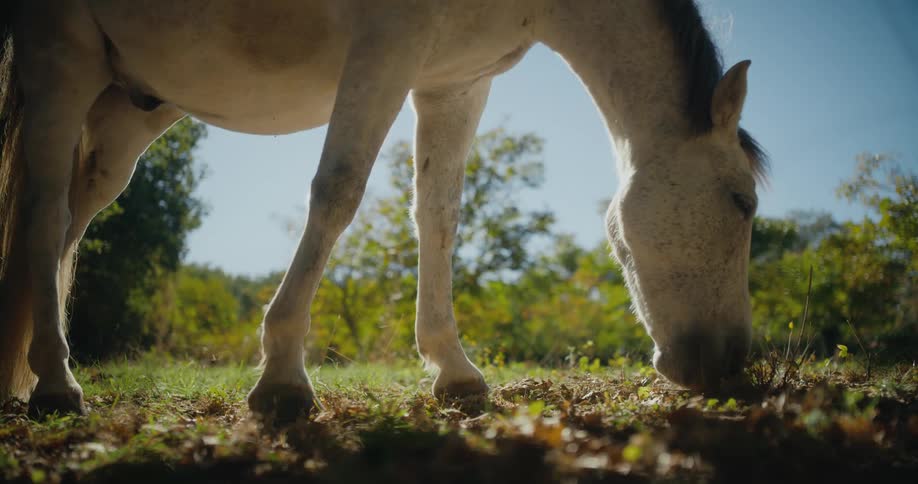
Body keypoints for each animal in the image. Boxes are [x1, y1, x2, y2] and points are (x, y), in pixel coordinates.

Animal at [0, 0, 767, 421]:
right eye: (743, 201)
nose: (731, 366)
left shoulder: (455, 81)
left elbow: (440, 215)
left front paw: (454, 372)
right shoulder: (387, 49)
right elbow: (338, 190)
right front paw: (282, 377)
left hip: (124, 114)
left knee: (66, 229)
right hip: (61, 63)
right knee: (43, 213)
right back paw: (57, 387)